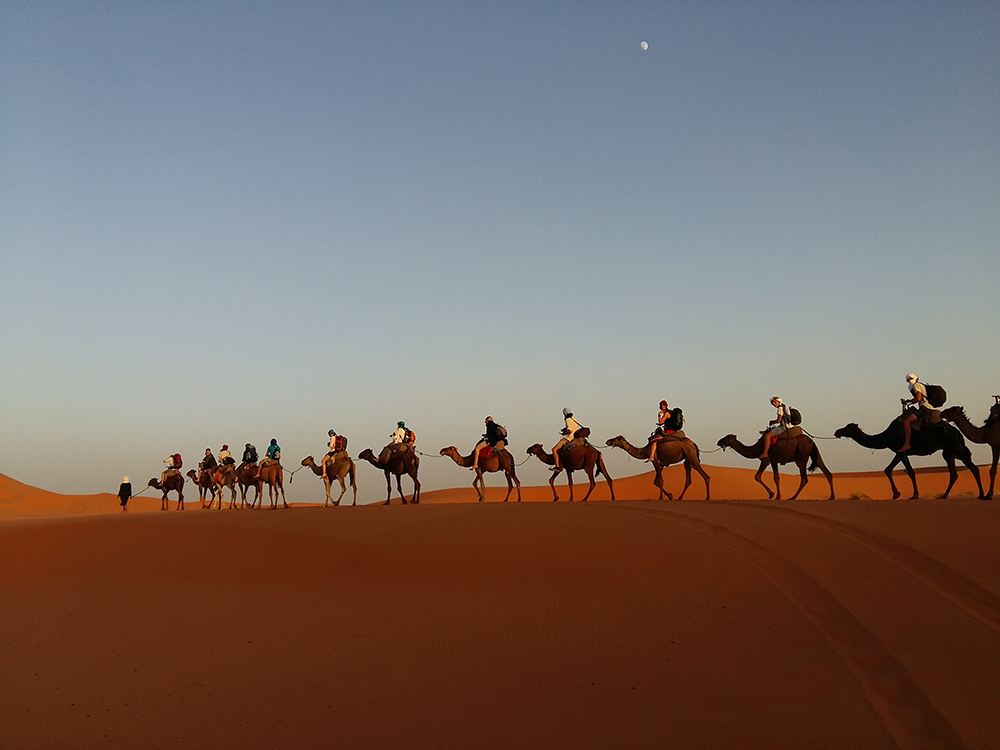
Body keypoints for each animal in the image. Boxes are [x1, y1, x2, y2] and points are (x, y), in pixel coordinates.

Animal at [836, 420, 984, 502]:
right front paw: (896, 494)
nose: (837, 432)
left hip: (955, 447)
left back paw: (981, 494)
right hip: (948, 452)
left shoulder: (901, 451)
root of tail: (957, 432)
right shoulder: (899, 452)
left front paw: (913, 495)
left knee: (973, 468)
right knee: (954, 473)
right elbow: (888, 469)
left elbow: (910, 472)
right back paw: (944, 496)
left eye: (847, 427)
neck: (886, 436)